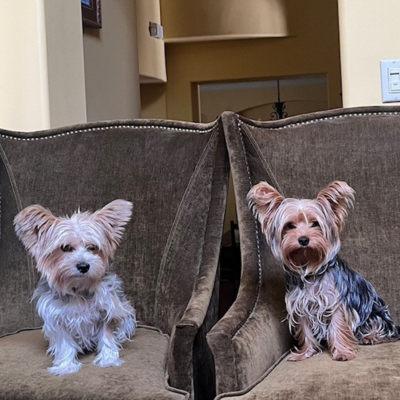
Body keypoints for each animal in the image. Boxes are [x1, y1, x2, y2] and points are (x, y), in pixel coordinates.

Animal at [14, 200, 137, 376]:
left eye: (92, 247)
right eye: (65, 248)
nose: (84, 266)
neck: (78, 289)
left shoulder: (107, 311)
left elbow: (107, 336)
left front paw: (108, 360)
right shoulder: (56, 318)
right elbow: (64, 343)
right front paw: (65, 366)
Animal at [248, 181, 398, 362]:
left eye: (315, 224)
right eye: (290, 225)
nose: (303, 239)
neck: (309, 268)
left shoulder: (336, 303)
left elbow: (338, 326)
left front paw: (342, 352)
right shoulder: (301, 305)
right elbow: (305, 331)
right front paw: (305, 353)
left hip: (376, 315)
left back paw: (370, 337)